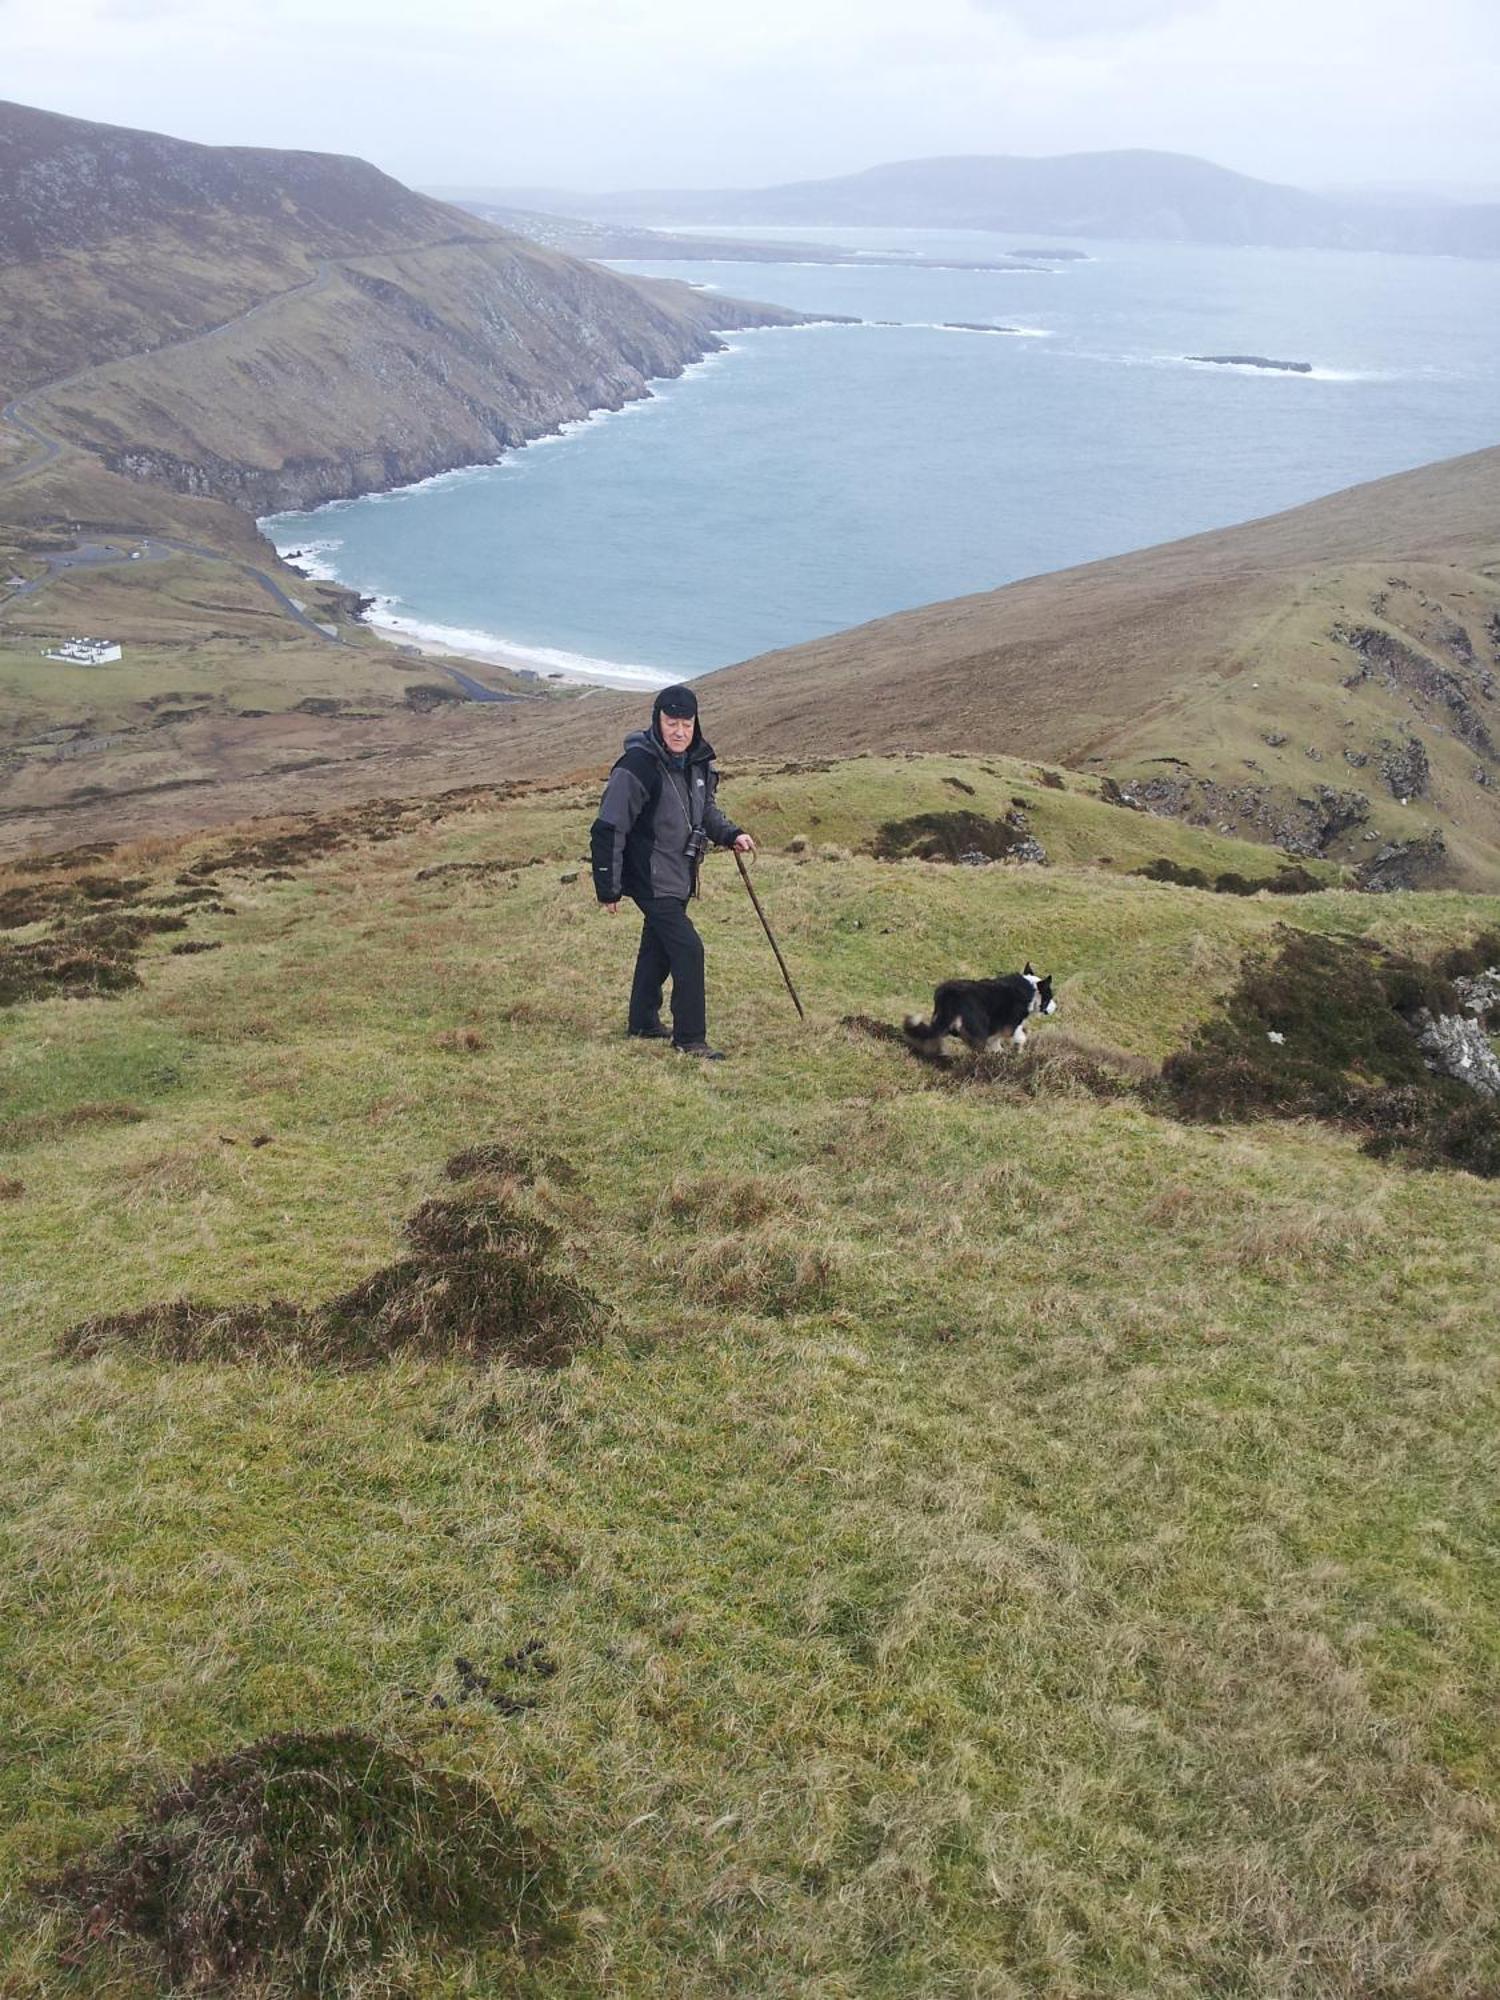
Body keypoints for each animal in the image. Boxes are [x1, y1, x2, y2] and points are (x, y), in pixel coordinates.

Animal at [904, 960, 1056, 1056]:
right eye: (1050, 996)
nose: (1056, 1007)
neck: (1031, 990)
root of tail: (951, 995)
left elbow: (996, 1041)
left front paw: (999, 1053)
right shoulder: (1010, 1024)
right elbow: (1020, 1037)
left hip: (942, 1019)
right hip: (977, 1026)